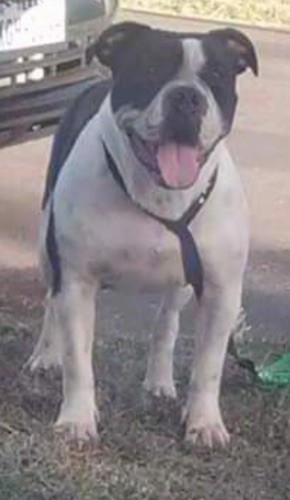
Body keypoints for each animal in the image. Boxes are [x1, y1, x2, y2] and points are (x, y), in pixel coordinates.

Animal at [27, 21, 258, 448]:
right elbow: (78, 361)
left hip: (182, 282)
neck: (159, 194)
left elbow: (209, 367)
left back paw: (159, 381)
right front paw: (76, 419)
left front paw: (204, 423)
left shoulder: (221, 291)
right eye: (149, 70)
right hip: (46, 253)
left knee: (166, 323)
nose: (186, 96)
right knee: (52, 303)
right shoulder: (77, 280)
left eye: (216, 77)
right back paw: (46, 355)